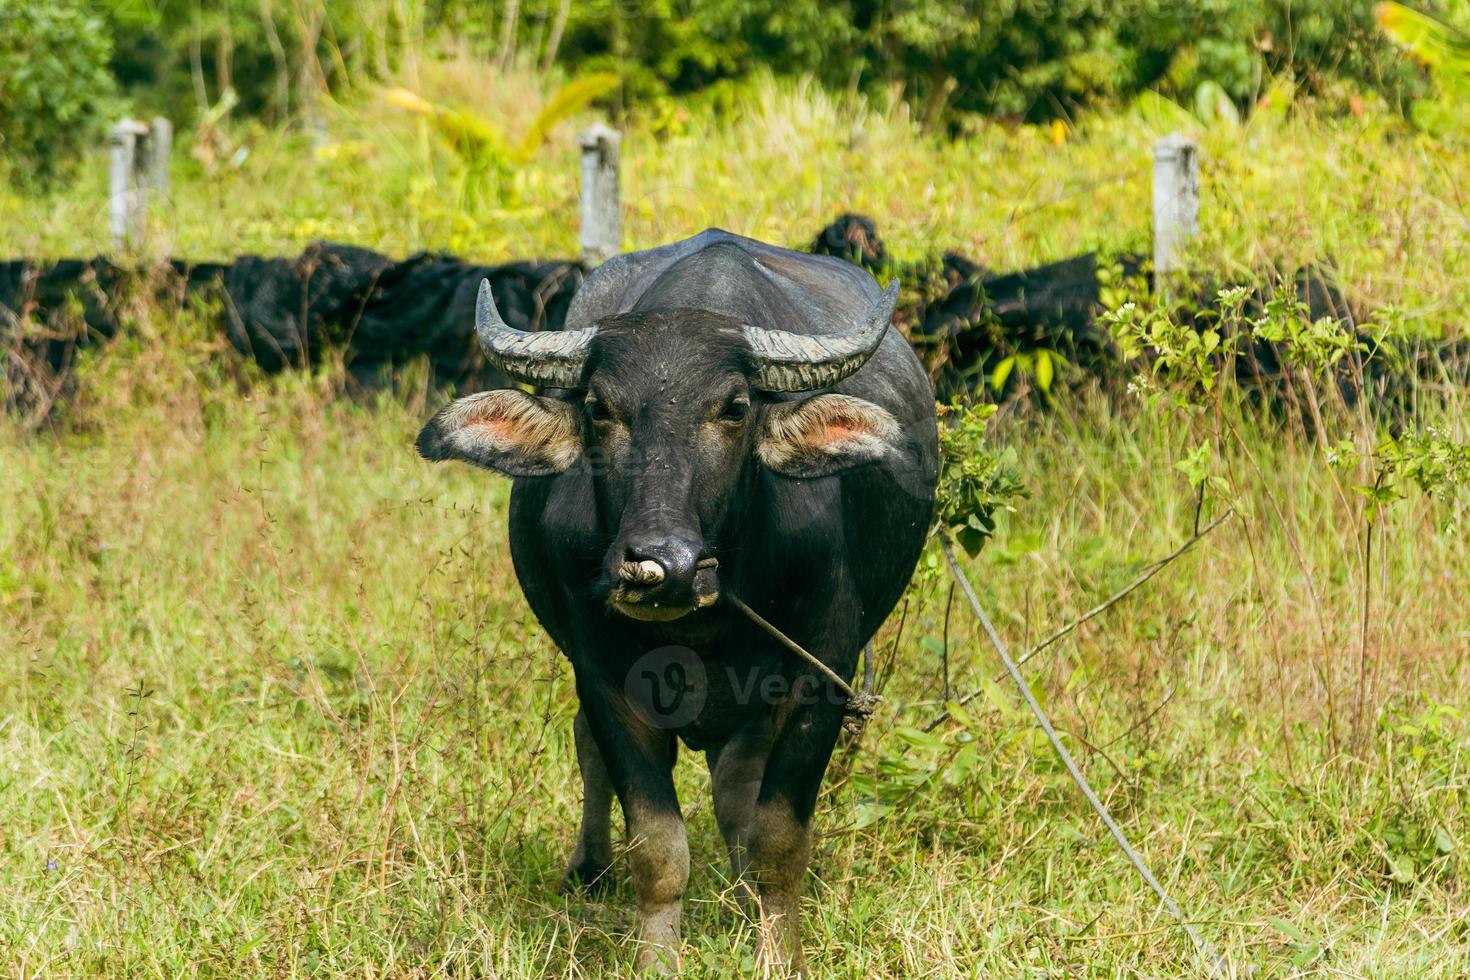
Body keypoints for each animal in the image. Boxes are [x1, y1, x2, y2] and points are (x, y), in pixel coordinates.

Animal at [420, 230, 934, 975]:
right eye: (599, 407)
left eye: (736, 408)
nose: (661, 563)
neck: (705, 624)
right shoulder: (605, 676)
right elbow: (658, 849)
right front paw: (657, 957)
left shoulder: (822, 675)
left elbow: (777, 836)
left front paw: (779, 950)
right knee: (595, 751)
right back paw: (590, 869)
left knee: (736, 788)